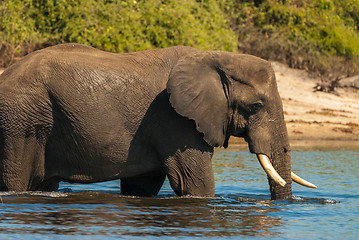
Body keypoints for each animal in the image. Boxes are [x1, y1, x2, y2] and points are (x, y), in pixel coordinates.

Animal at [0, 44, 316, 200]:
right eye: (256, 106)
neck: (215, 58)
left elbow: (142, 186)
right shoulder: (175, 119)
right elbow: (194, 182)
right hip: (20, 121)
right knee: (16, 180)